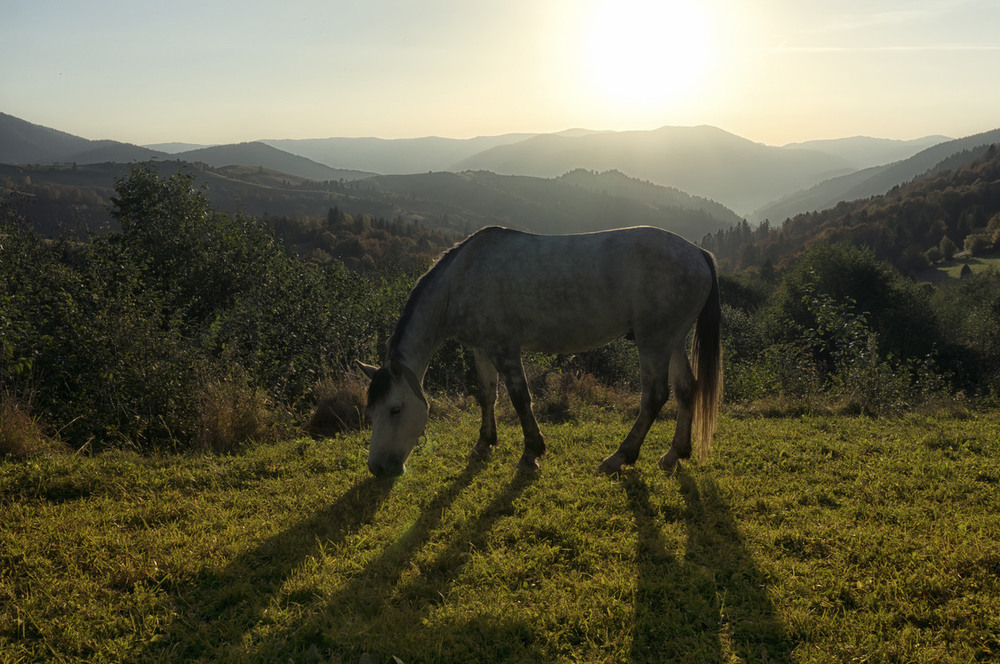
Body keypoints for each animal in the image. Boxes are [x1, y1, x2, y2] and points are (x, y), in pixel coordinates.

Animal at [356, 227, 724, 478]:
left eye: (394, 409)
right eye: (371, 410)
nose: (377, 468)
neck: (462, 279)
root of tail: (699, 253)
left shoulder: (505, 348)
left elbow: (520, 399)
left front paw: (531, 453)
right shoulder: (482, 348)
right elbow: (487, 395)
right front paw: (485, 442)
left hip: (654, 342)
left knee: (655, 397)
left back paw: (620, 457)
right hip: (673, 340)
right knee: (686, 389)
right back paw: (674, 454)